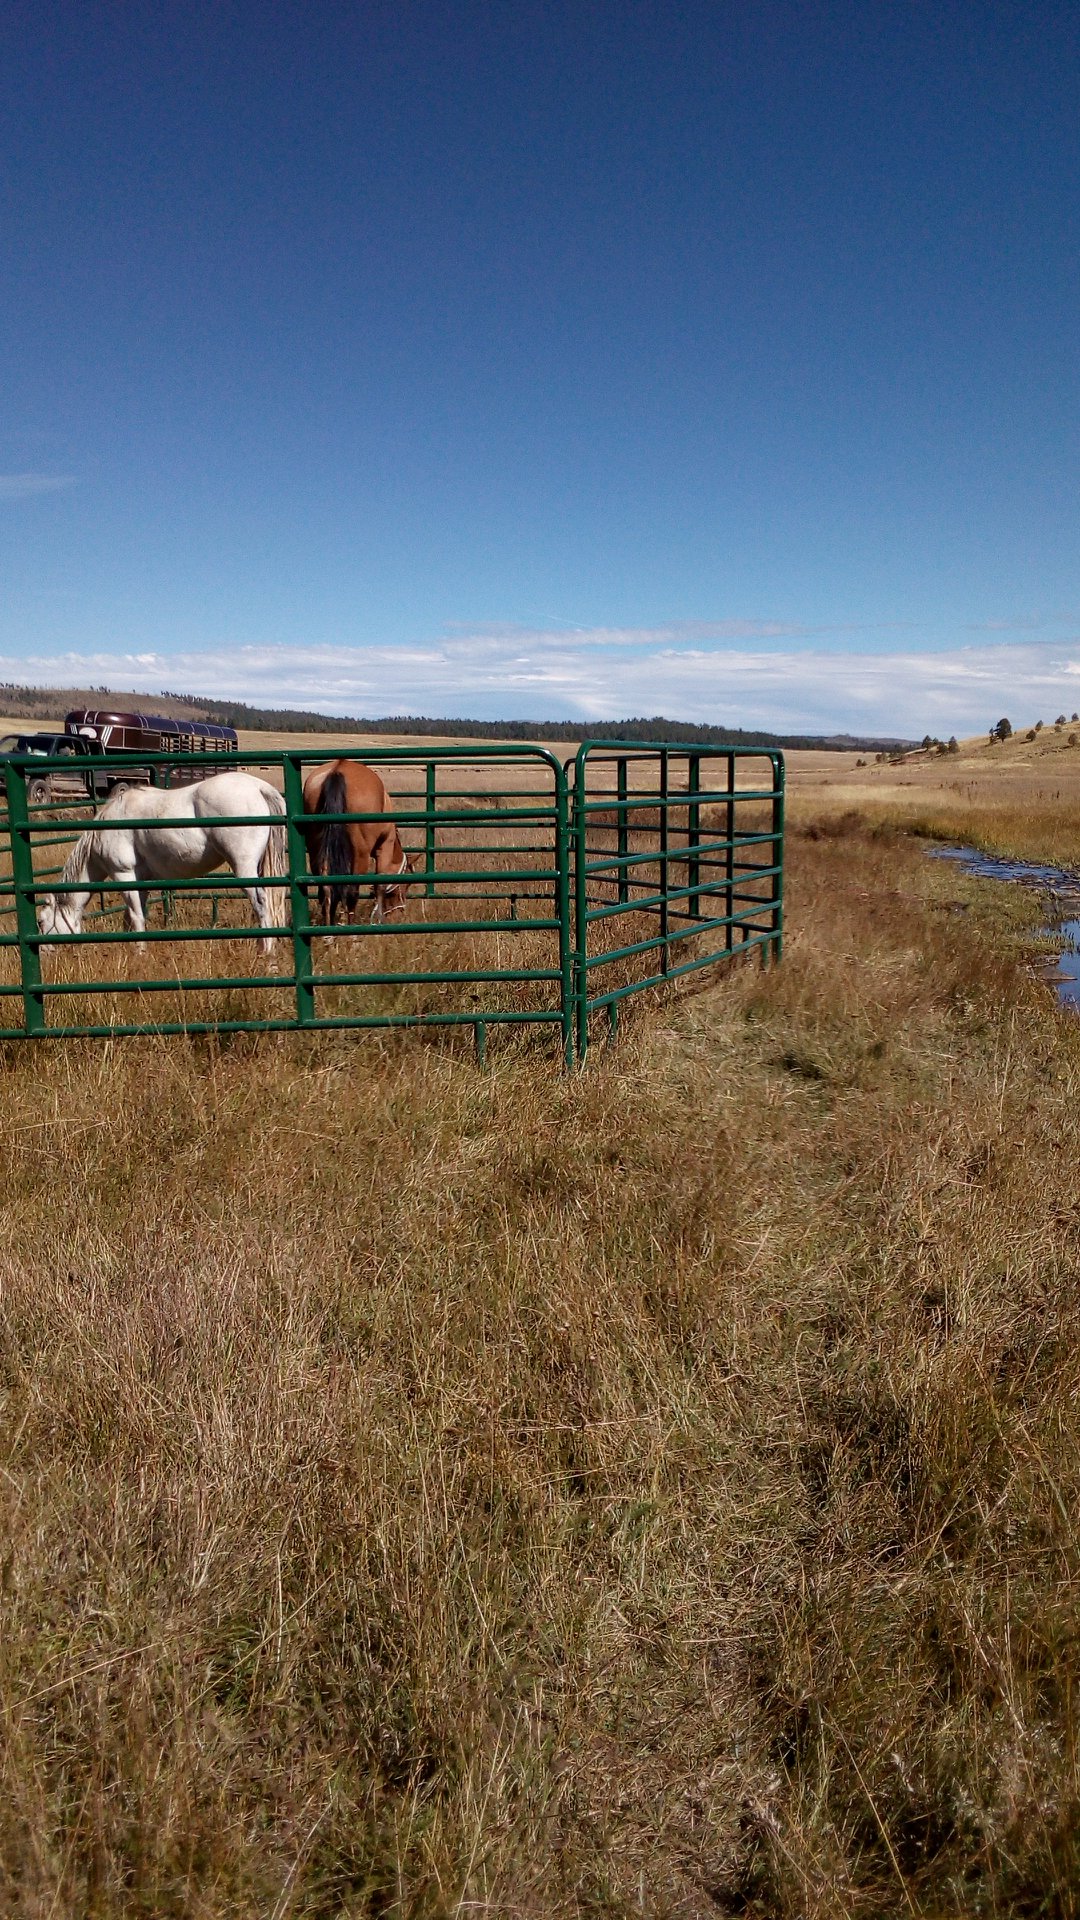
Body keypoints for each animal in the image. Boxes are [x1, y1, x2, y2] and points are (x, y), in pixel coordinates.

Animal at [35, 772, 290, 954]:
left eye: (40, 921)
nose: (44, 953)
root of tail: (259, 787)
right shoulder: (140, 880)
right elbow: (132, 917)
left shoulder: (123, 874)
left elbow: (136, 916)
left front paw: (140, 953)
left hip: (244, 867)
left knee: (261, 903)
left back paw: (265, 951)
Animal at [302, 758, 414, 925]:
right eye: (406, 884)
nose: (399, 912)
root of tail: (338, 770)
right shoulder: (384, 847)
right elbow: (380, 885)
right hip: (360, 854)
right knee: (352, 893)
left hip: (316, 850)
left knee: (325, 890)